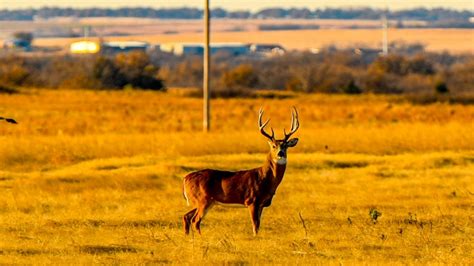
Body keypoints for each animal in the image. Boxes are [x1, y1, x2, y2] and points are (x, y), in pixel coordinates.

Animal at [182, 107, 300, 236]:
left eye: (285, 146)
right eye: (274, 146)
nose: (280, 153)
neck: (265, 178)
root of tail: (185, 178)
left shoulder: (261, 204)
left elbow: (258, 225)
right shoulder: (252, 200)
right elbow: (255, 225)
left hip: (202, 201)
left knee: (186, 216)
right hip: (203, 199)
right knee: (195, 220)